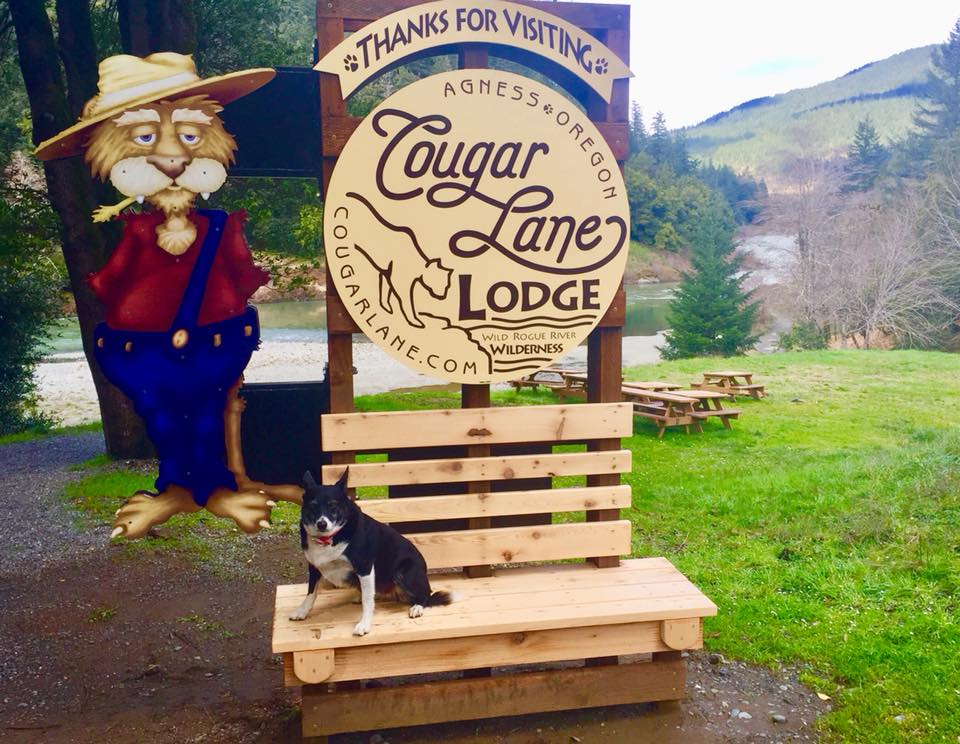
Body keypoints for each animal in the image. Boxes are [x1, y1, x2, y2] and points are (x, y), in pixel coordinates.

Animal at [288, 470, 458, 632]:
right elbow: (311, 592)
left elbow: (367, 601)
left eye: (333, 505)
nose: (322, 524)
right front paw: (302, 611)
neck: (329, 539)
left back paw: (417, 607)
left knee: (425, 596)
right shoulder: (314, 567)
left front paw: (364, 624)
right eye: (313, 505)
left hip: (403, 571)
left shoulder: (365, 567)